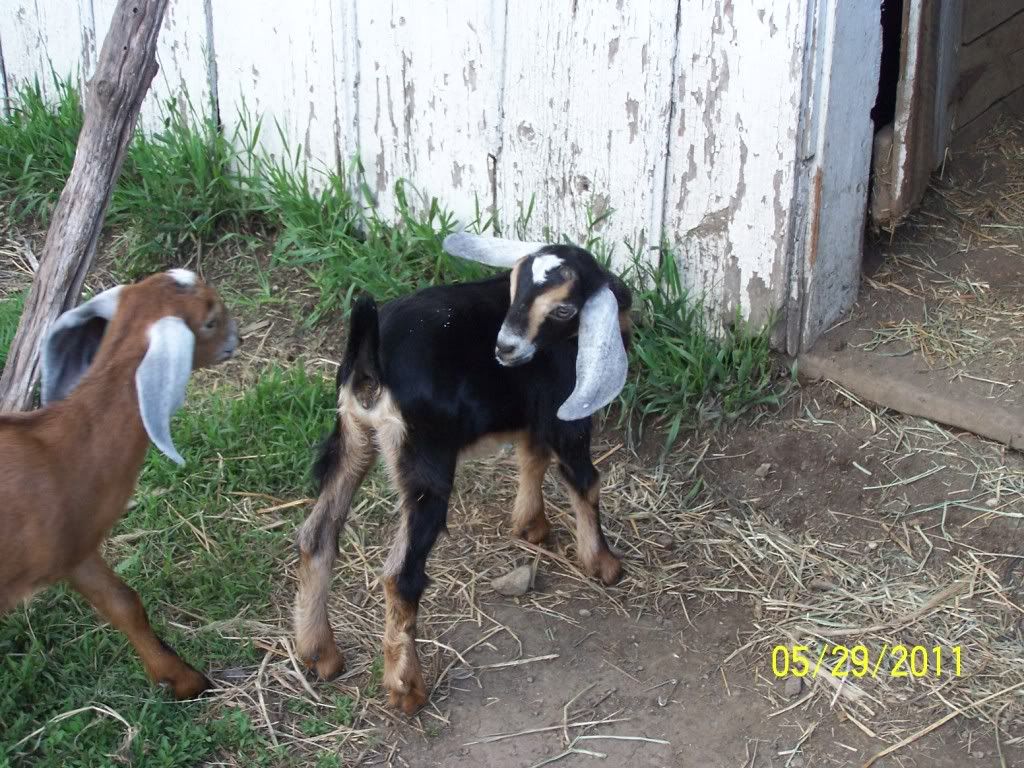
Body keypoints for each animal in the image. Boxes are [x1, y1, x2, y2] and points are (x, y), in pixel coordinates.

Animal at [0, 269, 238, 699]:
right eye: (210, 320)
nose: (238, 338)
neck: (55, 454)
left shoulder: (74, 548)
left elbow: (123, 603)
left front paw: (181, 679)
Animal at [294, 232, 631, 713]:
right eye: (516, 286)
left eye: (563, 307)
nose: (504, 348)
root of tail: (370, 359)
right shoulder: (564, 413)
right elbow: (583, 480)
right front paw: (603, 564)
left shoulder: (531, 411)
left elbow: (531, 457)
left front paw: (531, 526)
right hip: (425, 459)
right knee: (400, 576)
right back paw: (407, 690)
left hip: (352, 437)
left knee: (316, 536)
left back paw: (319, 654)